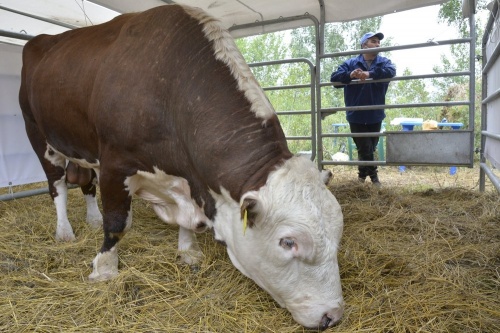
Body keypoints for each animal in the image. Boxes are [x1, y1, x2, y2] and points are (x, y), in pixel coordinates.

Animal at [18, 3, 344, 328]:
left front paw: (188, 251)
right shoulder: (114, 162)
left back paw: (91, 217)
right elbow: (117, 223)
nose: (333, 316)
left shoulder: (187, 179)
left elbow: (190, 222)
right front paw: (105, 268)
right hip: (38, 135)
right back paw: (64, 231)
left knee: (86, 183)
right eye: (288, 242)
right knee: (58, 185)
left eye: (337, 235)